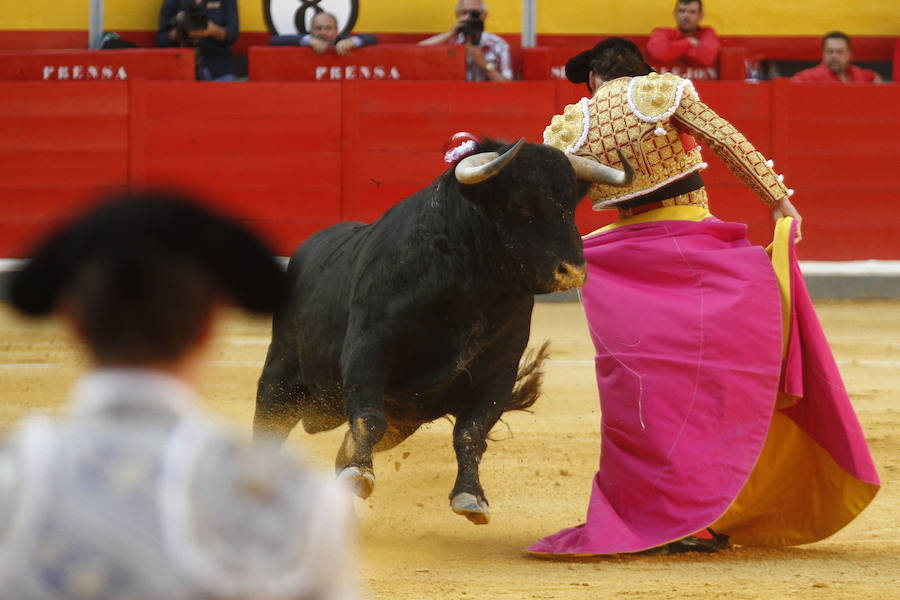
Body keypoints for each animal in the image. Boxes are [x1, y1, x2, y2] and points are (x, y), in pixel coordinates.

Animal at [256, 138, 628, 524]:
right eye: (518, 202)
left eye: (570, 204)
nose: (572, 271)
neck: (472, 287)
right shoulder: (368, 351)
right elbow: (368, 417)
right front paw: (360, 472)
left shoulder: (498, 372)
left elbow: (471, 432)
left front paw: (471, 496)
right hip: (280, 380)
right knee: (268, 428)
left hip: (402, 420)